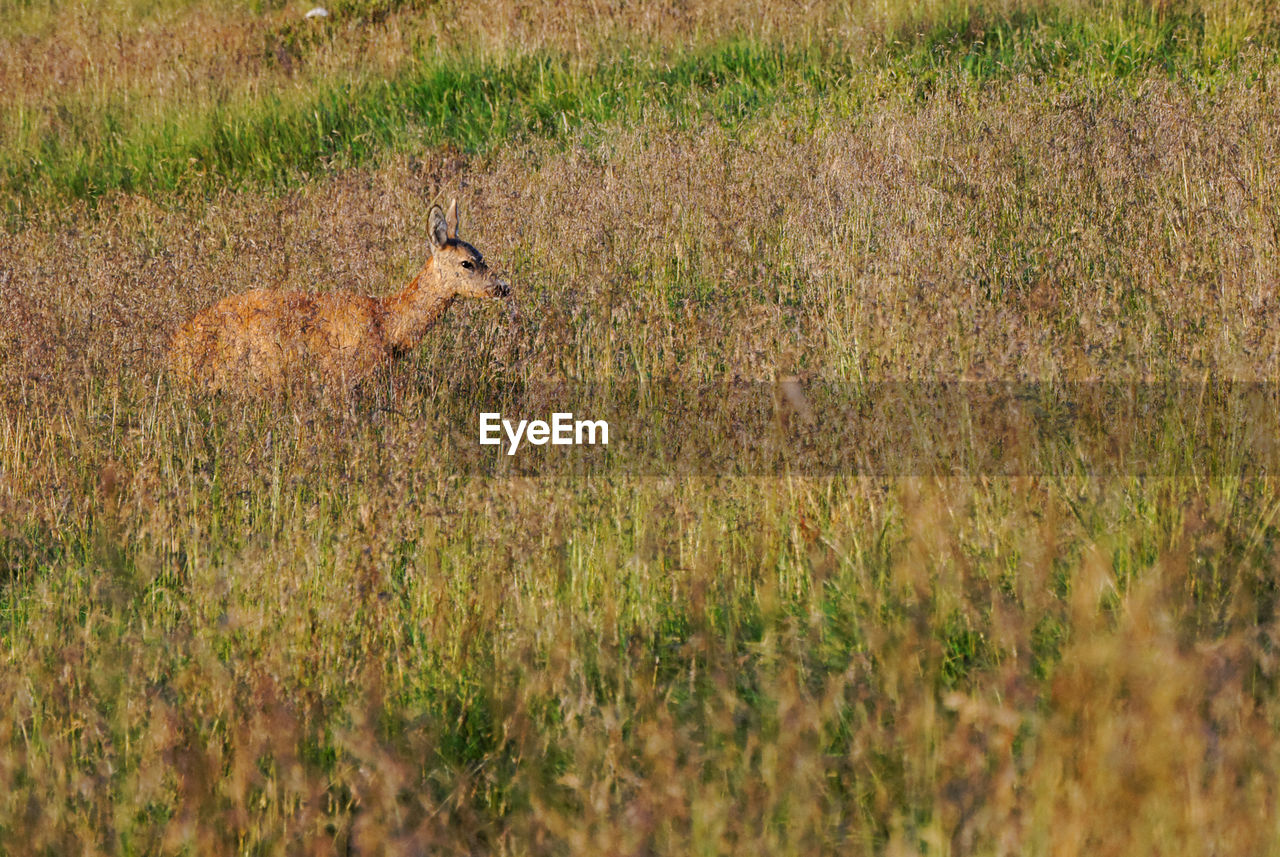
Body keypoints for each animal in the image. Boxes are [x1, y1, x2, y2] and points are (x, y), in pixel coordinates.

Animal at [167, 198, 506, 393]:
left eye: (482, 256)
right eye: (466, 263)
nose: (503, 287)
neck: (386, 325)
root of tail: (175, 344)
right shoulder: (345, 377)